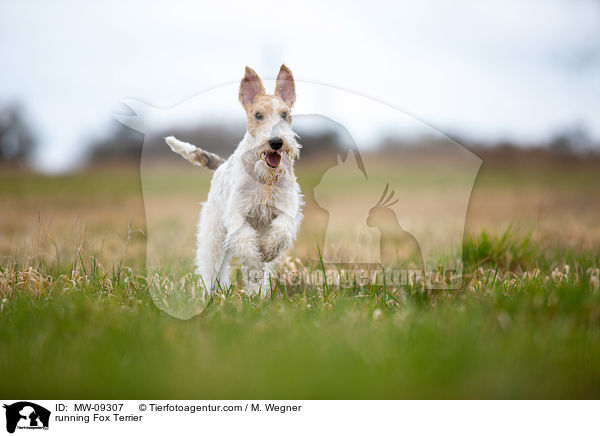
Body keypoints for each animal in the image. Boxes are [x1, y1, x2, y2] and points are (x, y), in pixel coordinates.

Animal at [165, 63, 302, 296]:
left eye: (285, 114)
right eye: (258, 115)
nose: (276, 142)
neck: (265, 179)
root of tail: (220, 165)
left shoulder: (286, 208)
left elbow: (281, 231)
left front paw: (267, 250)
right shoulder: (236, 214)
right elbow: (247, 244)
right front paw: (256, 259)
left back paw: (257, 294)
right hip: (215, 232)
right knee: (211, 266)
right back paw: (210, 294)